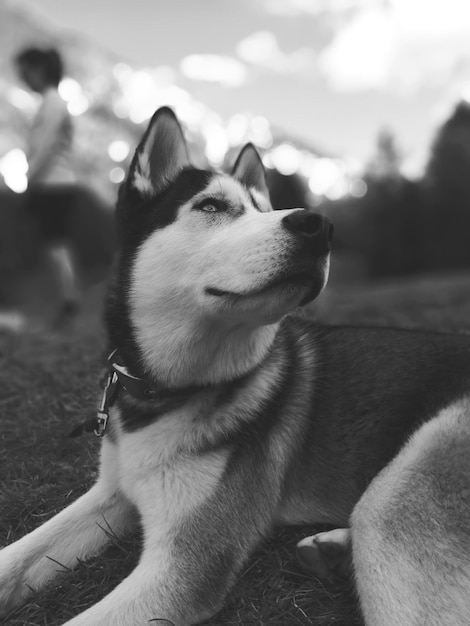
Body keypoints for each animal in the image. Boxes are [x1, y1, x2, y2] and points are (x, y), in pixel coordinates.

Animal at [0, 108, 470, 624]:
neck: (167, 395)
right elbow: (17, 557)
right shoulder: (112, 491)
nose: (319, 224)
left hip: (394, 511)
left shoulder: (185, 566)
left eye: (264, 208)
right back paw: (332, 551)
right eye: (211, 206)